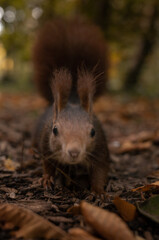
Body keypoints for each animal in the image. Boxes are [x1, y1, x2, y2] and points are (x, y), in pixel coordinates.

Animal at [32, 17, 109, 193]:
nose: (74, 152)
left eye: (92, 132)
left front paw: (98, 192)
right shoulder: (46, 143)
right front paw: (47, 178)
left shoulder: (100, 148)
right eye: (55, 130)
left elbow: (100, 171)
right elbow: (47, 164)